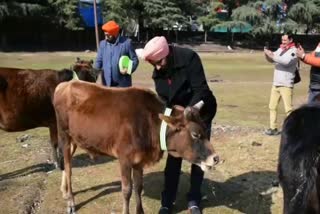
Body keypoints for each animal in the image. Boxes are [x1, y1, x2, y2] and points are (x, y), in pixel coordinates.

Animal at [53, 80, 219, 214]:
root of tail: (64, 85)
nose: (216, 158)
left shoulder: (139, 161)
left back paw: (64, 192)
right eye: (195, 134)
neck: (148, 124)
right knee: (68, 167)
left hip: (74, 139)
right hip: (64, 135)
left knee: (65, 164)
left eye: (205, 128)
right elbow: (127, 190)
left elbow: (138, 187)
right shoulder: (124, 159)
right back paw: (70, 201)